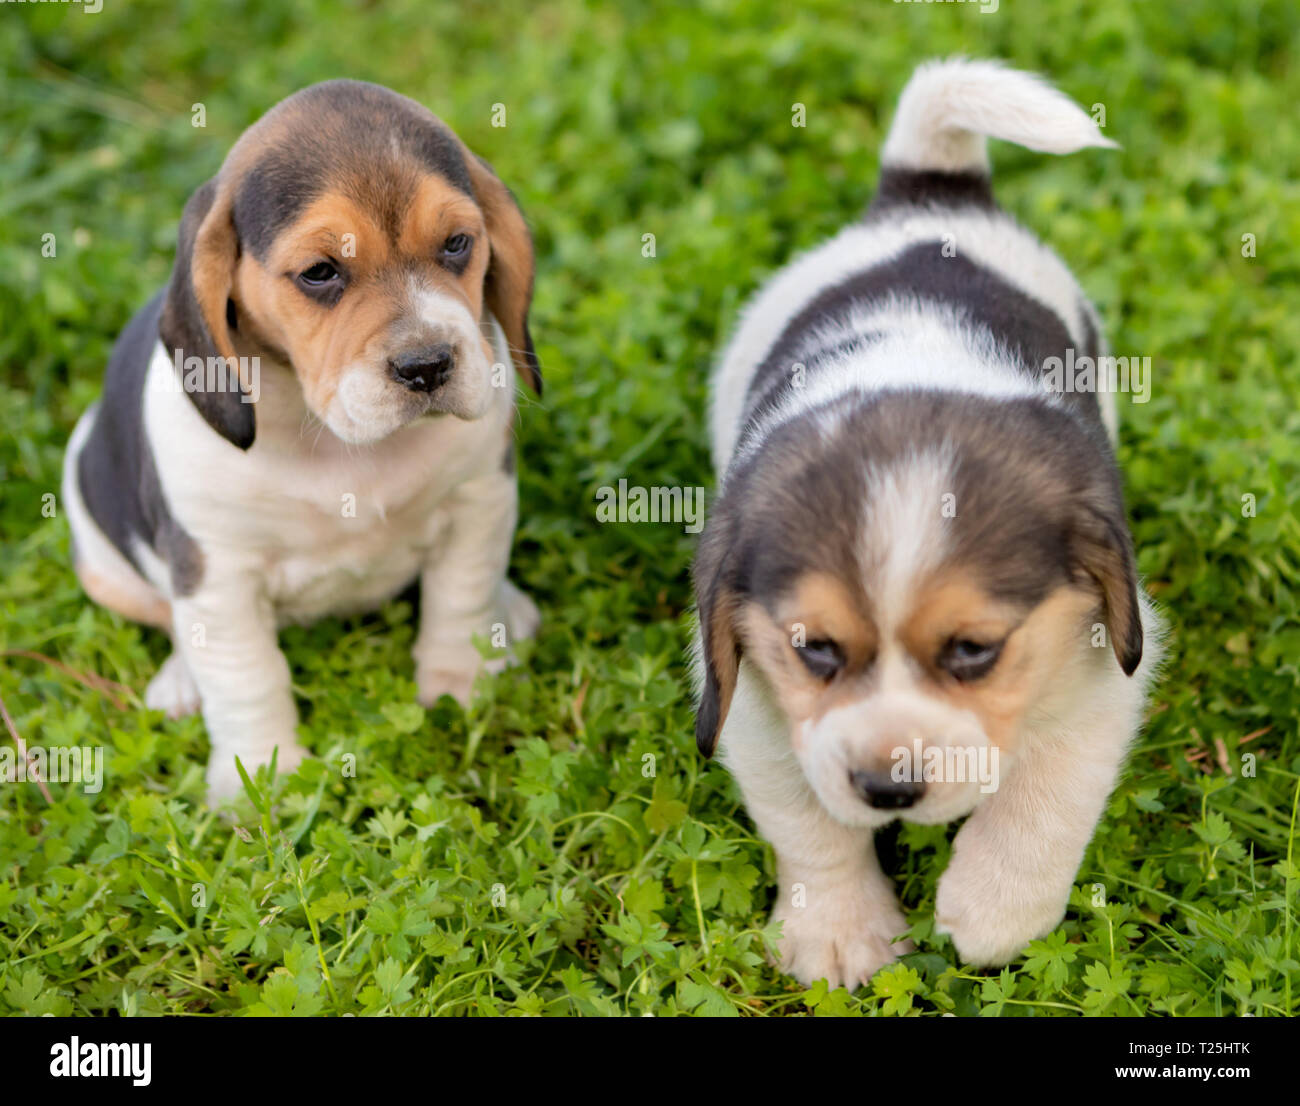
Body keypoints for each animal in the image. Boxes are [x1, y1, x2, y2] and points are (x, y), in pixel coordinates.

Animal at [61, 79, 543, 805]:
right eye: (320, 272)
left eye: (458, 243)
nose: (428, 365)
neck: (339, 443)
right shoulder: (218, 572)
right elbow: (247, 674)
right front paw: (260, 776)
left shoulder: (479, 500)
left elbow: (459, 602)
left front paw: (461, 691)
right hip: (98, 548)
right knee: (166, 615)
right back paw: (180, 682)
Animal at [696, 60, 1164, 992]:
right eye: (815, 650)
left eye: (974, 651)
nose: (888, 789)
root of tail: (926, 200)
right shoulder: (758, 707)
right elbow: (811, 824)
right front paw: (841, 931)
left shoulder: (1106, 670)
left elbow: (1044, 797)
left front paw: (992, 910)